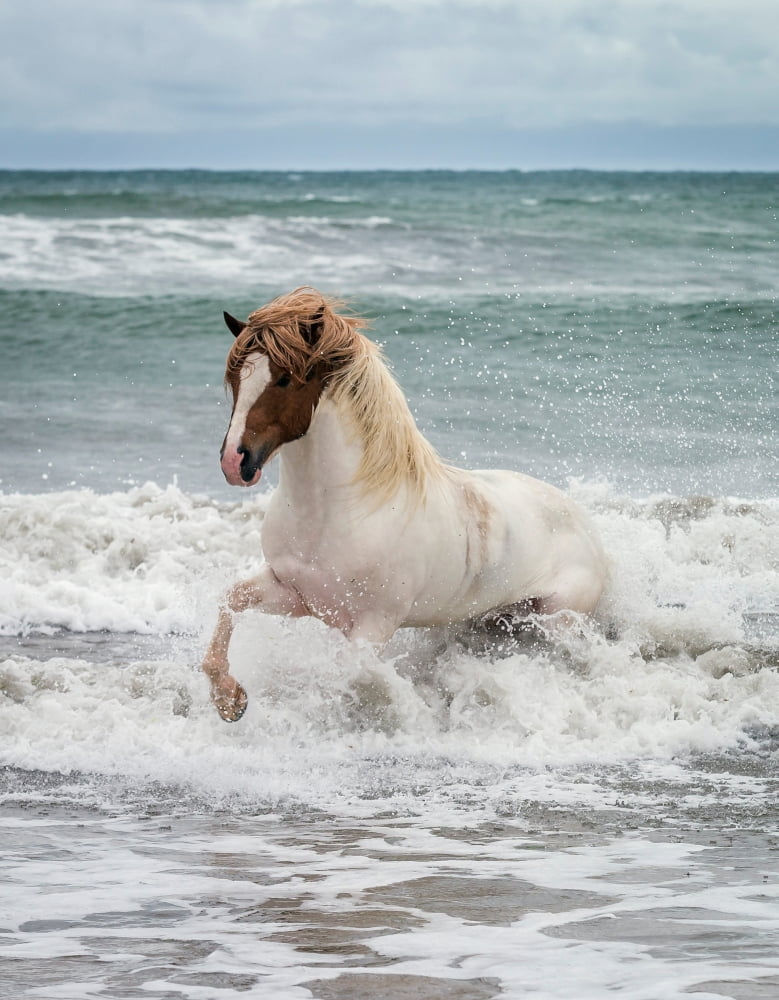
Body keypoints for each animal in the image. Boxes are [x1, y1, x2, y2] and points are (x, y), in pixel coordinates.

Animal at [201, 287, 608, 722]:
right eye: (235, 379)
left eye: (284, 379)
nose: (234, 462)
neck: (340, 512)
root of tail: (587, 527)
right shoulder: (297, 595)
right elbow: (230, 600)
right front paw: (229, 700)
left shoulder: (373, 624)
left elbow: (353, 674)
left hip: (557, 619)